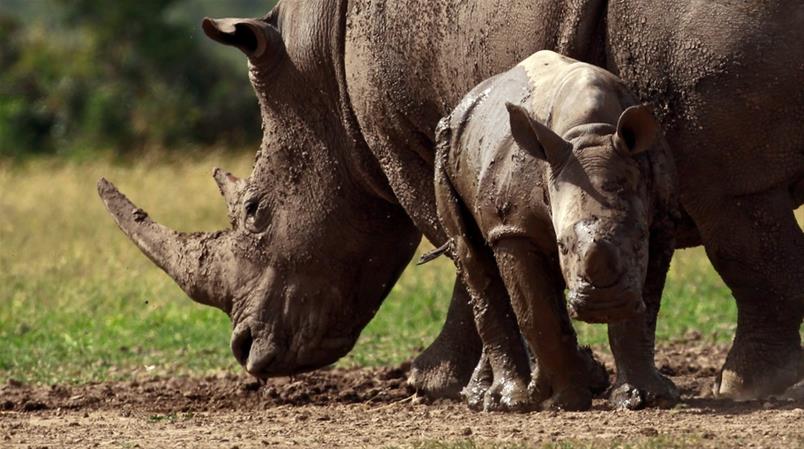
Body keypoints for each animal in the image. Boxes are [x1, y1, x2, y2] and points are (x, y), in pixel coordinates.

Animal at [430, 50, 680, 412]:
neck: (589, 132)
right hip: (446, 151)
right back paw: (506, 401)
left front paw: (647, 398)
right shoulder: (514, 229)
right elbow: (537, 312)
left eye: (640, 241)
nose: (603, 304)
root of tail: (467, 99)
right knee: (471, 255)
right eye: (562, 245)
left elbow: (644, 310)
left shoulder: (661, 219)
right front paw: (566, 402)